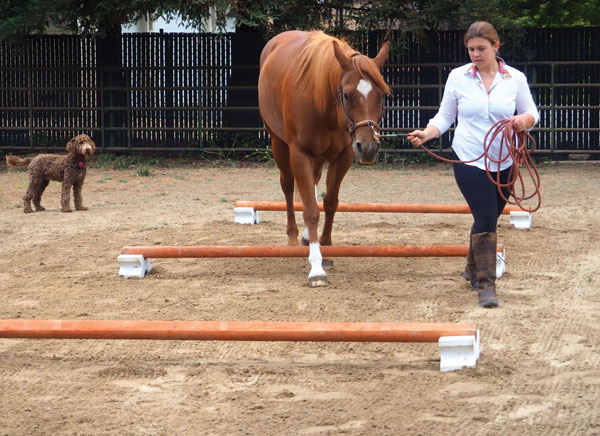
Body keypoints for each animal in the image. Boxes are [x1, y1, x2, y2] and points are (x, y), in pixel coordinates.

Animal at [258, 32, 392, 288]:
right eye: (347, 95)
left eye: (381, 95)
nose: (369, 149)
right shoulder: (299, 154)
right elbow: (311, 209)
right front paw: (317, 269)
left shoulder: (344, 155)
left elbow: (330, 203)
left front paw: (326, 249)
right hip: (278, 143)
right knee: (288, 186)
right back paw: (292, 238)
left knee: (314, 181)